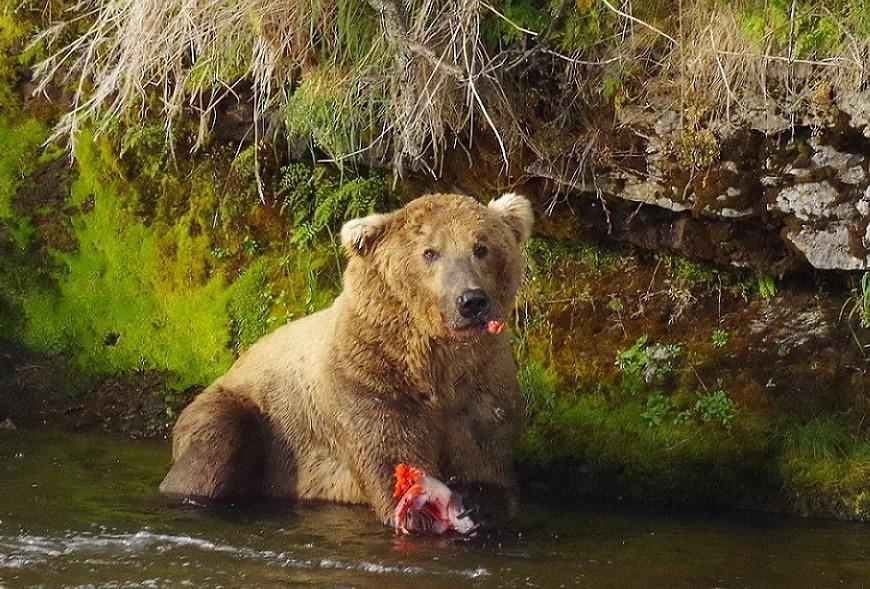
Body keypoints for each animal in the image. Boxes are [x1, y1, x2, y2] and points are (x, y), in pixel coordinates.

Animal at [160, 193, 536, 528]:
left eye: (481, 247)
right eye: (430, 251)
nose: (471, 301)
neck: (434, 364)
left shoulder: (481, 386)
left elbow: (486, 460)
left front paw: (479, 503)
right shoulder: (367, 376)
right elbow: (388, 451)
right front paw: (419, 510)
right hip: (251, 414)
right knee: (216, 445)